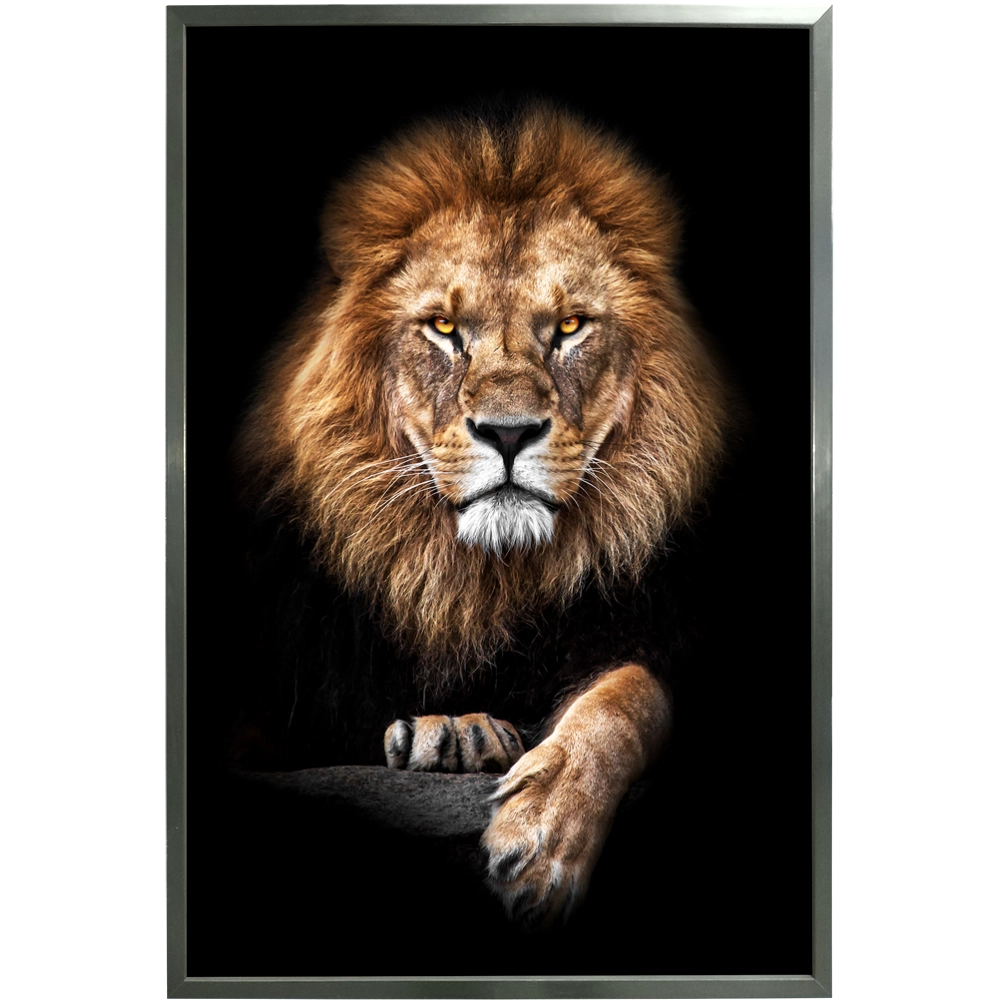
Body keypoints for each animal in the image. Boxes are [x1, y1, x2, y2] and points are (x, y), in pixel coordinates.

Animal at [234, 104, 730, 929]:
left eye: (569, 327)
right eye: (442, 329)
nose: (507, 432)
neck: (477, 581)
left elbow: (629, 696)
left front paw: (545, 836)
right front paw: (453, 733)